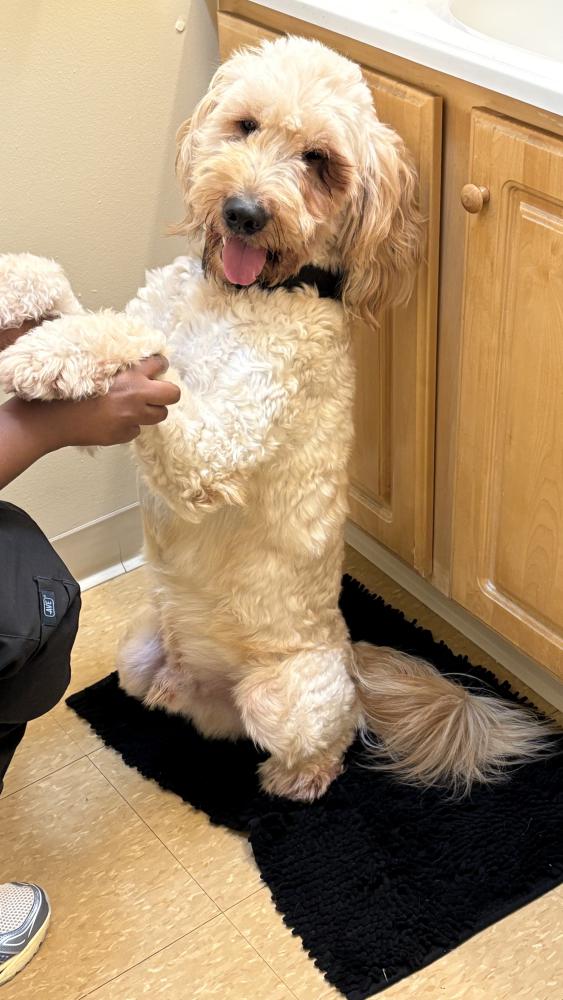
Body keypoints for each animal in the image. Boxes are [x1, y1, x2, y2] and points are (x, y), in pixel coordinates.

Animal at [0, 36, 549, 801]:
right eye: (245, 126)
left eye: (319, 160)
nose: (242, 213)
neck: (243, 293)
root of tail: (352, 663)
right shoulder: (157, 325)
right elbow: (71, 291)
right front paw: (15, 290)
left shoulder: (215, 443)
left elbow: (131, 346)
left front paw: (45, 353)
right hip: (140, 648)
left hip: (283, 697)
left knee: (325, 746)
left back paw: (292, 781)